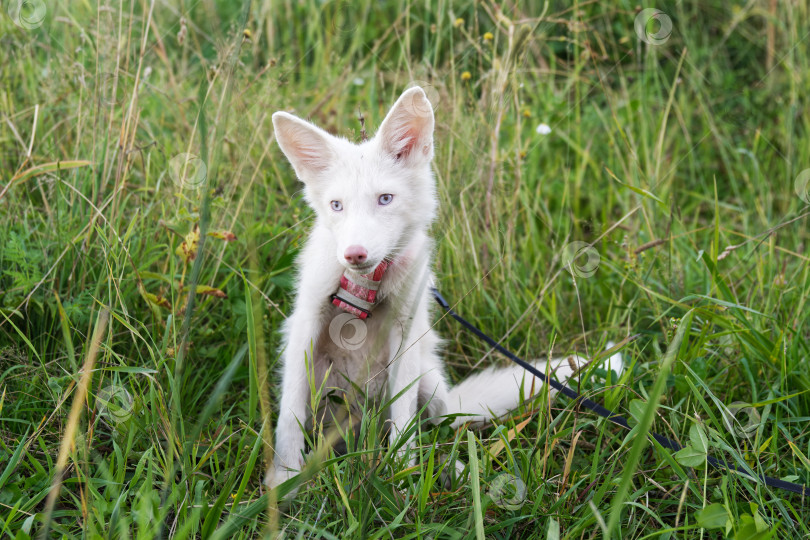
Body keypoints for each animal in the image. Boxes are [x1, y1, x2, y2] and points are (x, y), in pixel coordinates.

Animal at [266, 86, 620, 492]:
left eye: (385, 199)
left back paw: (456, 473)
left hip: (431, 387)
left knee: (437, 431)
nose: (355, 254)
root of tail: (356, 431)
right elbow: (289, 414)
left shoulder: (404, 334)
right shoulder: (306, 323)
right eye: (336, 206)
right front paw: (283, 480)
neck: (367, 286)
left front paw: (400, 477)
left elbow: (403, 424)